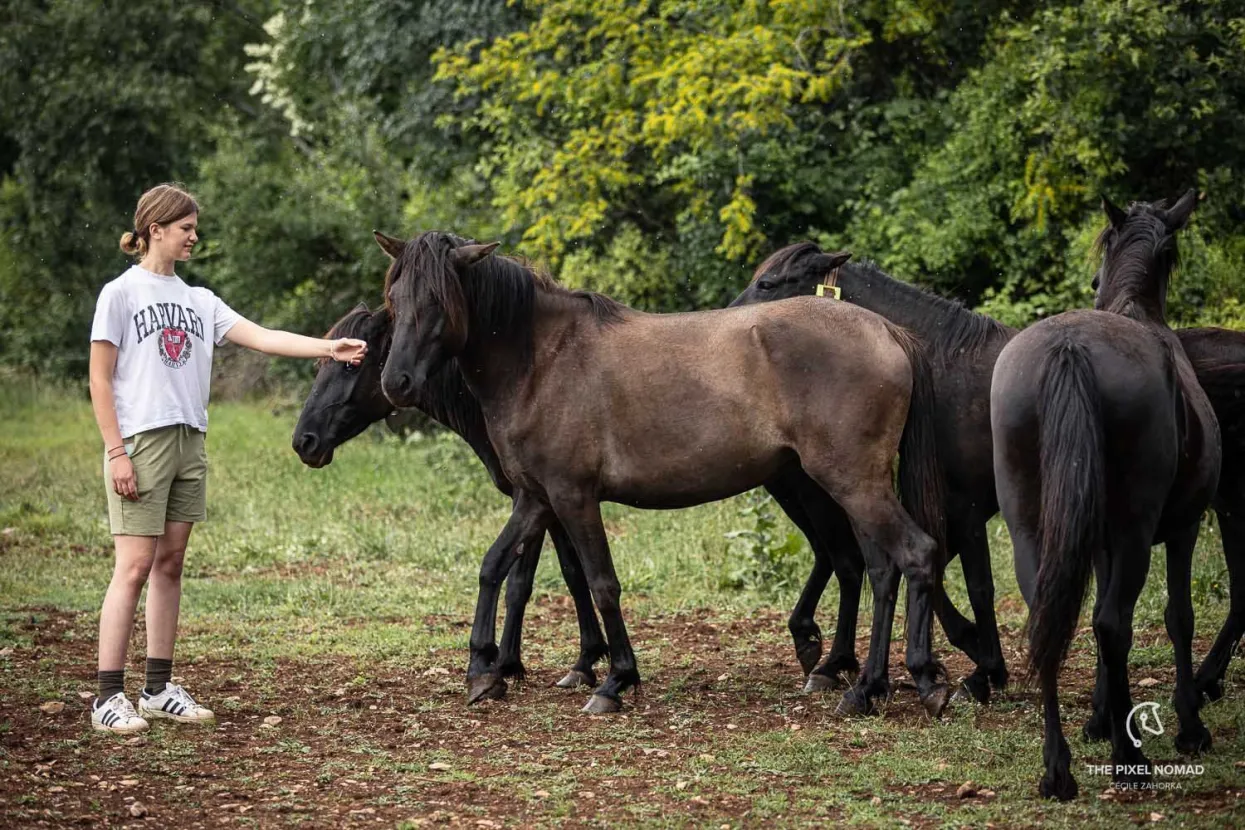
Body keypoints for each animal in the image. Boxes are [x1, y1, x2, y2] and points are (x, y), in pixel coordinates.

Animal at [373, 230, 946, 716]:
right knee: (881, 569)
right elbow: (494, 566)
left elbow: (602, 583)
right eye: (394, 300)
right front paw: (482, 671)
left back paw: (903, 684)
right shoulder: (535, 498)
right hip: (852, 489)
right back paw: (868, 685)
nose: (396, 383)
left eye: (438, 301)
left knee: (912, 555)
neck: (543, 361)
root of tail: (886, 331)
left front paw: (615, 680)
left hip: (852, 483)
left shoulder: (574, 497)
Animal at [991, 191, 1215, 801]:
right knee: (1115, 623)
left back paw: (1057, 769)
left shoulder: (1093, 541)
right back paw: (1129, 757)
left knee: (1050, 617)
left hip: (1032, 528)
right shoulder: (1181, 529)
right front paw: (1188, 726)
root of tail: (1070, 347)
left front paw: (1097, 718)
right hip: (1136, 532)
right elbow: (1176, 616)